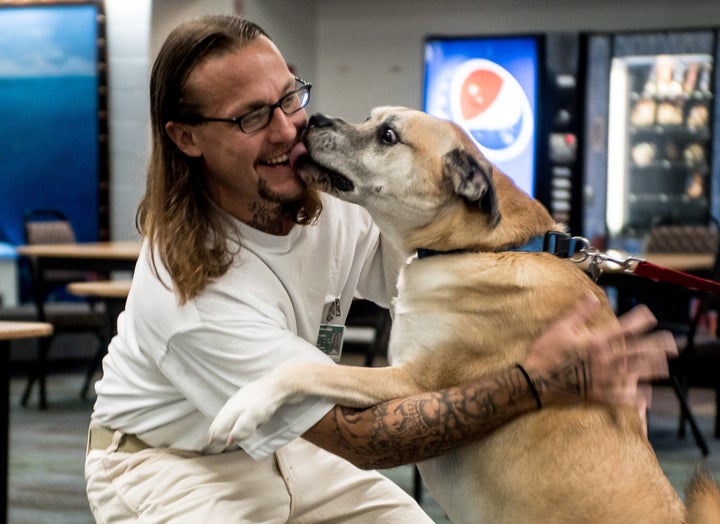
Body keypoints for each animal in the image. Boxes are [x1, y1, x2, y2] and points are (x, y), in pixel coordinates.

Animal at [208, 107, 720, 524]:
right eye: (370, 118)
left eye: (389, 135)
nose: (313, 119)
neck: (486, 246)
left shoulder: (412, 383)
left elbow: (306, 368)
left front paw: (245, 405)